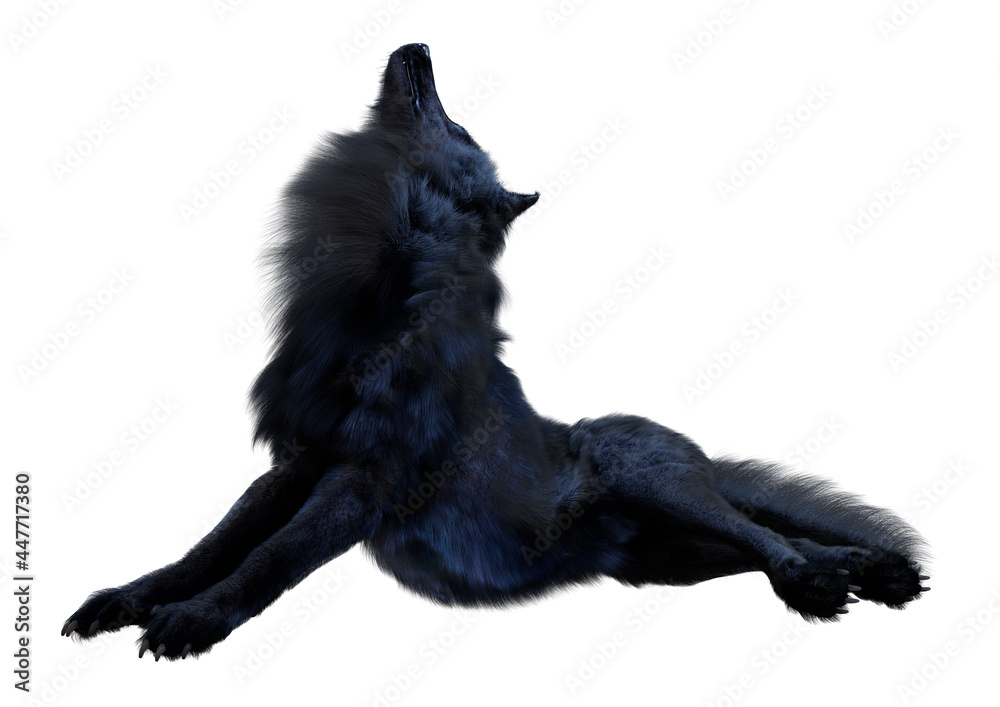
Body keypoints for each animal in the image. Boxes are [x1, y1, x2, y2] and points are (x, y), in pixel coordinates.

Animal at [63, 43, 928, 661]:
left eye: (462, 128)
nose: (418, 44)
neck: (372, 306)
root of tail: (695, 454)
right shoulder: (293, 466)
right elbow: (203, 548)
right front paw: (129, 599)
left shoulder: (363, 480)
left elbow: (266, 562)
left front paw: (194, 621)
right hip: (670, 557)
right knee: (771, 538)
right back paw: (864, 570)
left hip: (653, 483)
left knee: (765, 535)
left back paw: (822, 580)